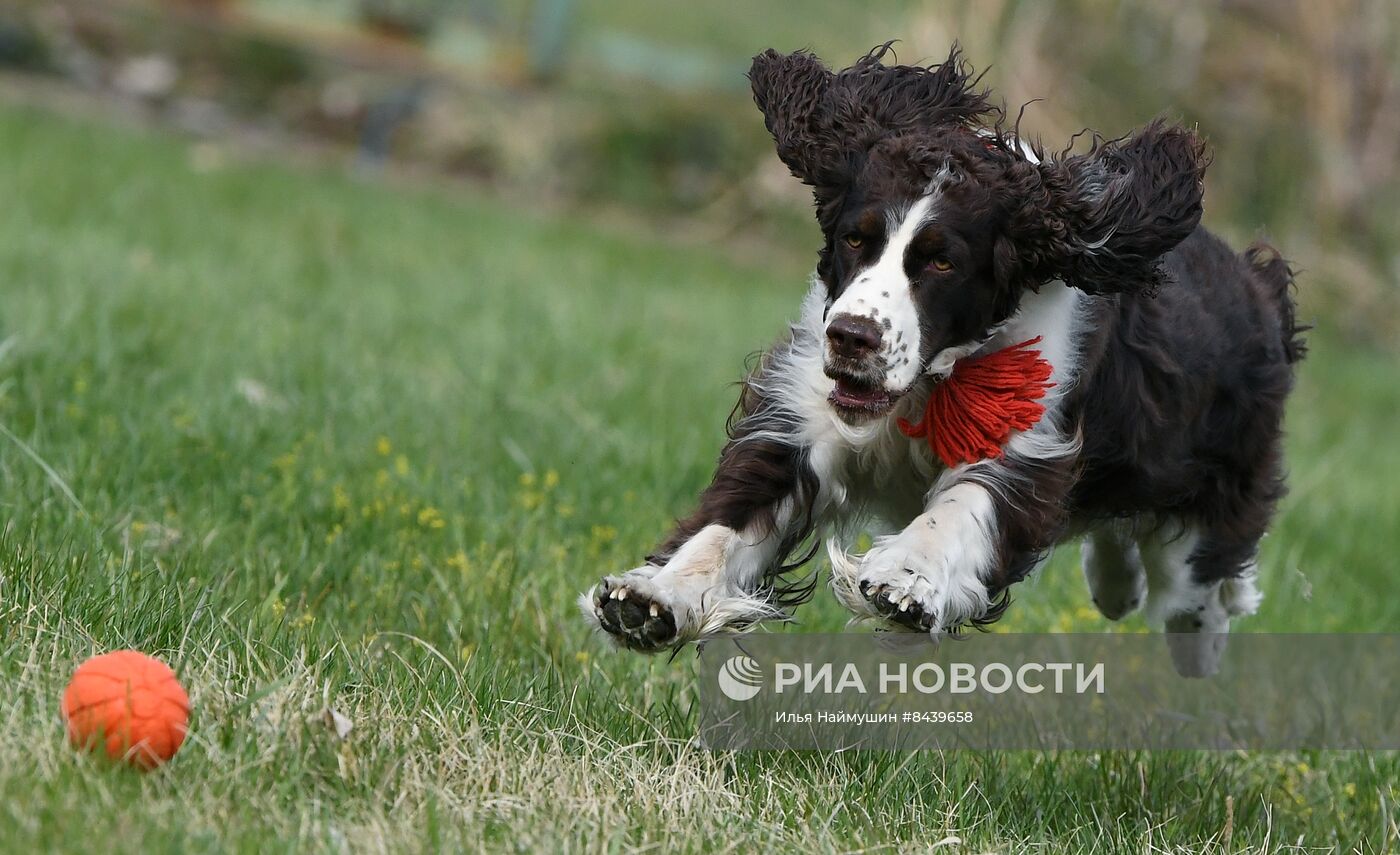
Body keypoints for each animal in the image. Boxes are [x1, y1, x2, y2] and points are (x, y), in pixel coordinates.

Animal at [576, 45, 1299, 674]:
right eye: (855, 238)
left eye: (942, 261)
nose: (853, 337)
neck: (925, 384)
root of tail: (1257, 285)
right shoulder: (802, 416)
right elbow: (732, 517)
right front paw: (653, 600)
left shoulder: (1024, 426)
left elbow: (965, 507)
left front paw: (904, 581)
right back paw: (1116, 584)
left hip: (1220, 471)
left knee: (1196, 581)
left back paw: (1198, 638)